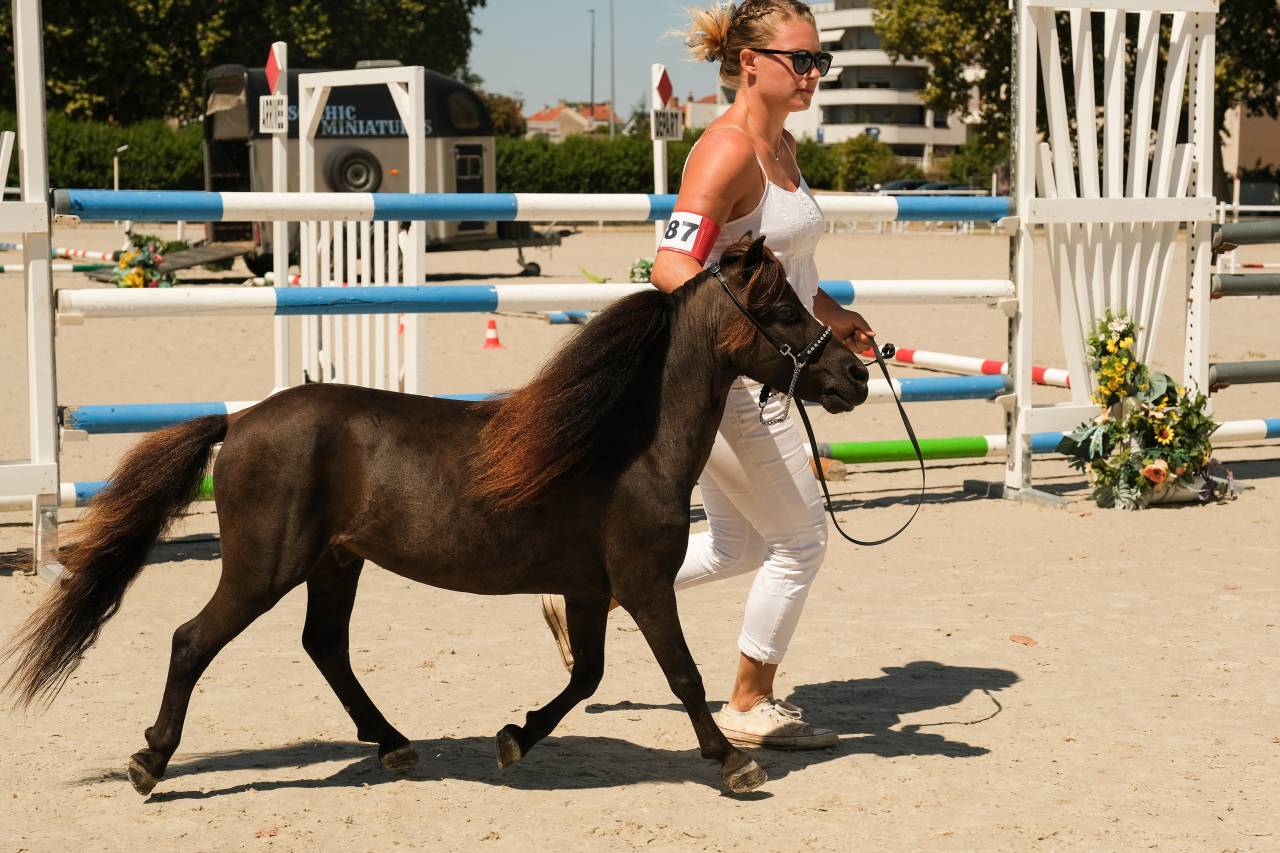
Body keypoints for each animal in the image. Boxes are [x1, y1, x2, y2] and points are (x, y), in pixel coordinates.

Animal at [3, 234, 869, 796]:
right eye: (781, 311)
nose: (856, 373)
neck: (627, 444)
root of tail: (240, 420)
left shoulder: (591, 588)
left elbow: (585, 675)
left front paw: (515, 738)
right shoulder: (642, 582)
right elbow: (683, 674)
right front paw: (733, 761)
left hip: (335, 562)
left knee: (326, 646)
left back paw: (393, 745)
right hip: (263, 569)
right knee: (192, 642)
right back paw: (150, 762)